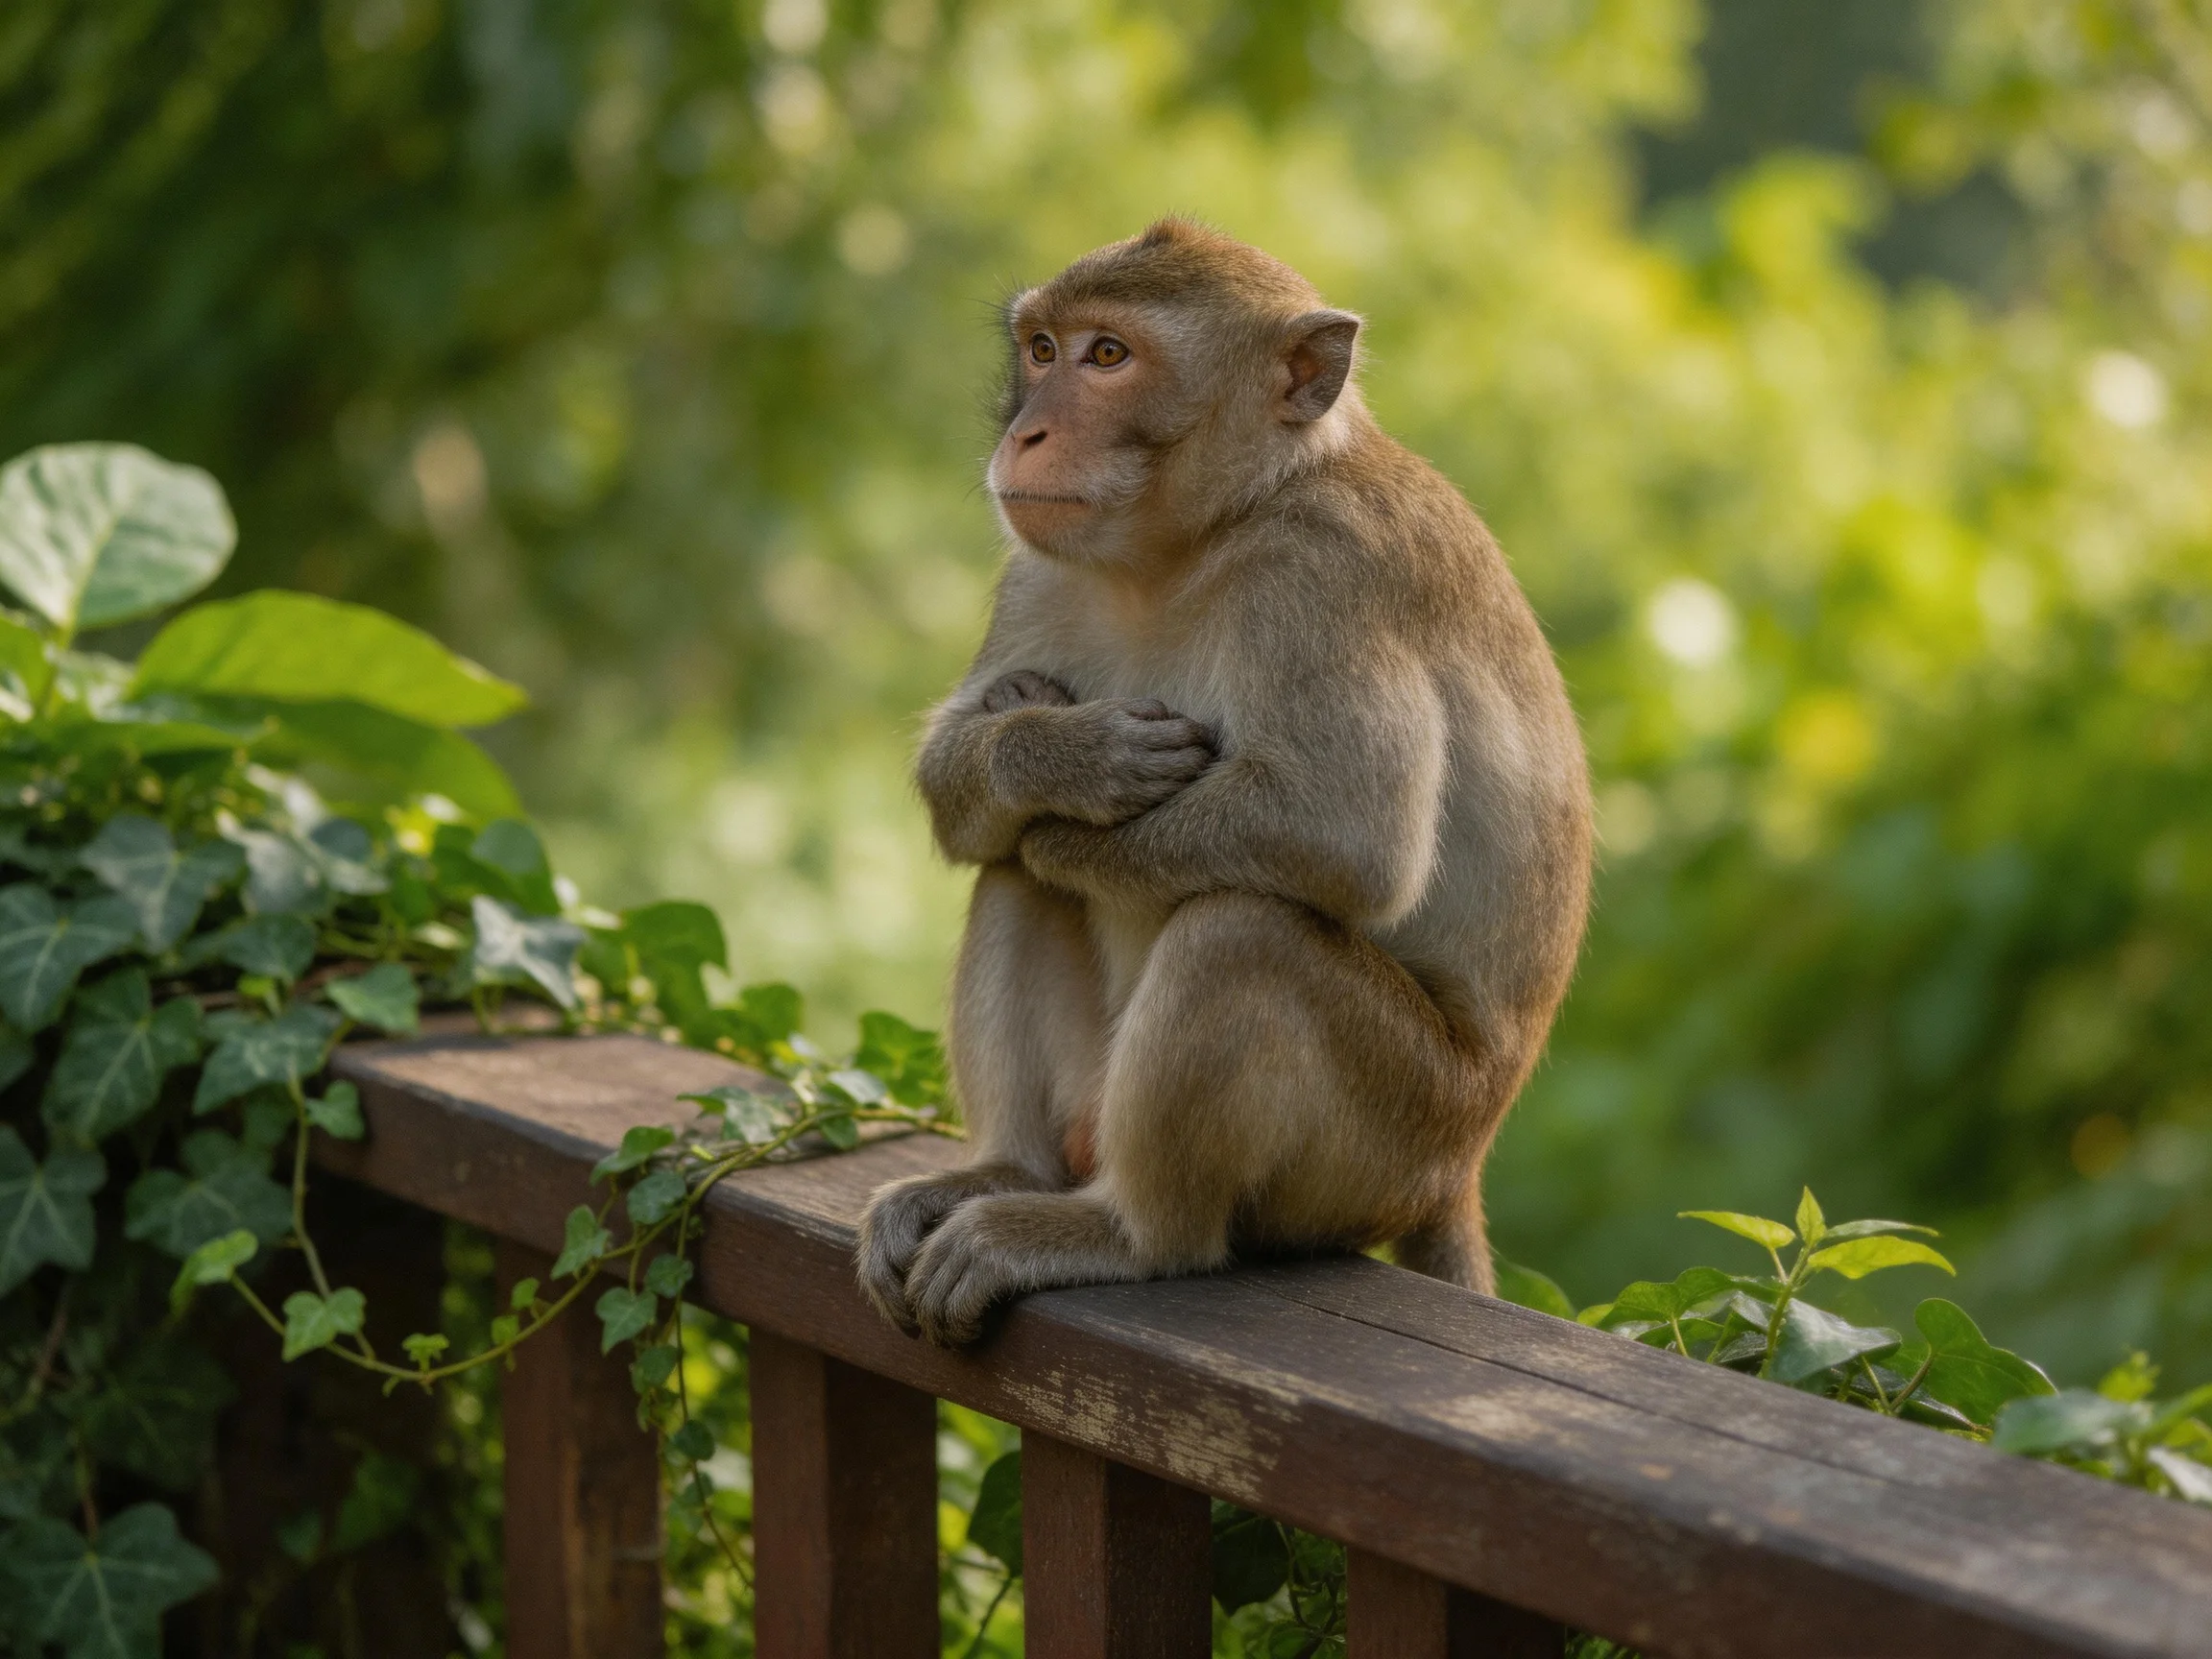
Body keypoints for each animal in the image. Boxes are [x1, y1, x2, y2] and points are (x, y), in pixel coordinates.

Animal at [855, 218, 1591, 1346]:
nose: (1026, 436)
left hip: (1387, 1137)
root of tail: (1456, 1169)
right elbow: (954, 785)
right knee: (1011, 878)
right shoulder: (1036, 563)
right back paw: (1002, 1172)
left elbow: (1345, 836)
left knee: (1239, 932)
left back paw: (1129, 1235)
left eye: (1109, 356)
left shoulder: (1326, 573)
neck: (1202, 536)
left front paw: (1074, 818)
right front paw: (1056, 754)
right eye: (1041, 349)